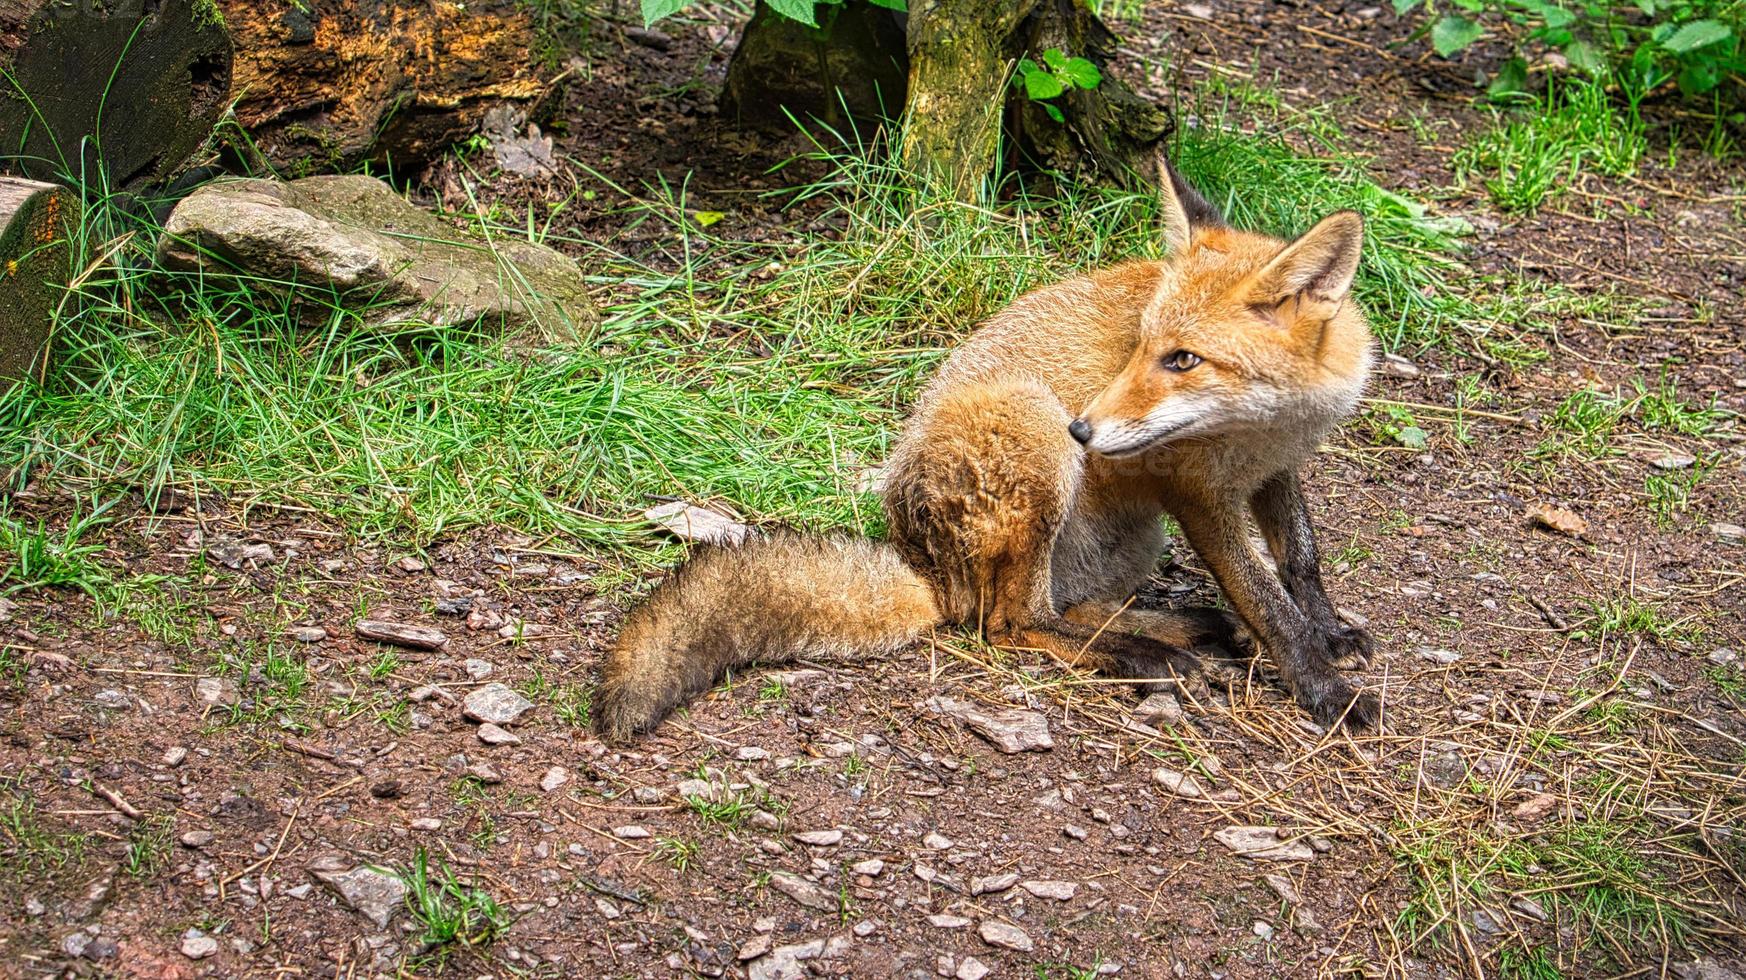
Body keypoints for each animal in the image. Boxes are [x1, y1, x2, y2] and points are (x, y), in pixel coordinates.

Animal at [597, 162, 1375, 740]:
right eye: (1139, 346)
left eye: (1183, 359)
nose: (1087, 430)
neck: (1263, 426)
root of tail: (927, 569)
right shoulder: (1196, 491)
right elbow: (1264, 597)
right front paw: (1324, 688)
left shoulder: (1277, 466)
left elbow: (1299, 560)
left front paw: (1329, 633)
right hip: (1036, 436)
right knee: (1011, 623)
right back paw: (1148, 655)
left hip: (1127, 538)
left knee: (1069, 607)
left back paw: (1185, 629)